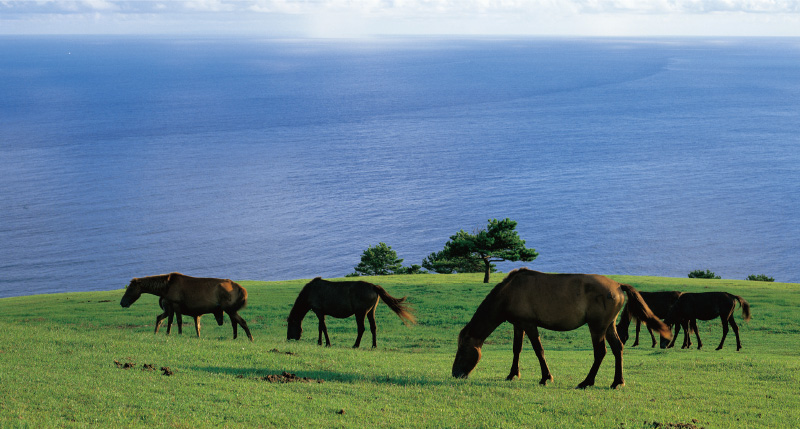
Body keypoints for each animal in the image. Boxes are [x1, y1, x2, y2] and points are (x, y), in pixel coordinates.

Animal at [119, 274, 253, 342]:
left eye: (130, 289)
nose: (122, 303)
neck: (165, 288)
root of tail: (242, 290)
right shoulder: (172, 306)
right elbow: (170, 322)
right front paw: (167, 333)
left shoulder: (176, 304)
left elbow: (179, 321)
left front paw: (179, 334)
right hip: (230, 309)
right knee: (235, 323)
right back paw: (235, 337)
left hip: (229, 309)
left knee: (242, 322)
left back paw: (250, 338)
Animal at [286, 278, 416, 348]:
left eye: (290, 325)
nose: (289, 338)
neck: (309, 292)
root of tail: (374, 287)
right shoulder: (321, 313)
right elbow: (320, 328)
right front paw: (320, 342)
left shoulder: (318, 311)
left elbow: (323, 328)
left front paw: (327, 343)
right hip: (371, 311)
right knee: (373, 327)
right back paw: (374, 345)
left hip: (360, 312)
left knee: (361, 328)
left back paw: (356, 345)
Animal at [450, 268, 668, 388]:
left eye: (461, 352)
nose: (455, 374)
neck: (508, 293)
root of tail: (617, 286)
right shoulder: (518, 325)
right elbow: (516, 349)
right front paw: (512, 374)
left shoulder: (529, 324)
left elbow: (538, 350)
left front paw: (546, 377)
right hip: (608, 325)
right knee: (617, 348)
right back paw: (617, 382)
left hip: (596, 326)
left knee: (600, 352)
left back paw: (586, 382)